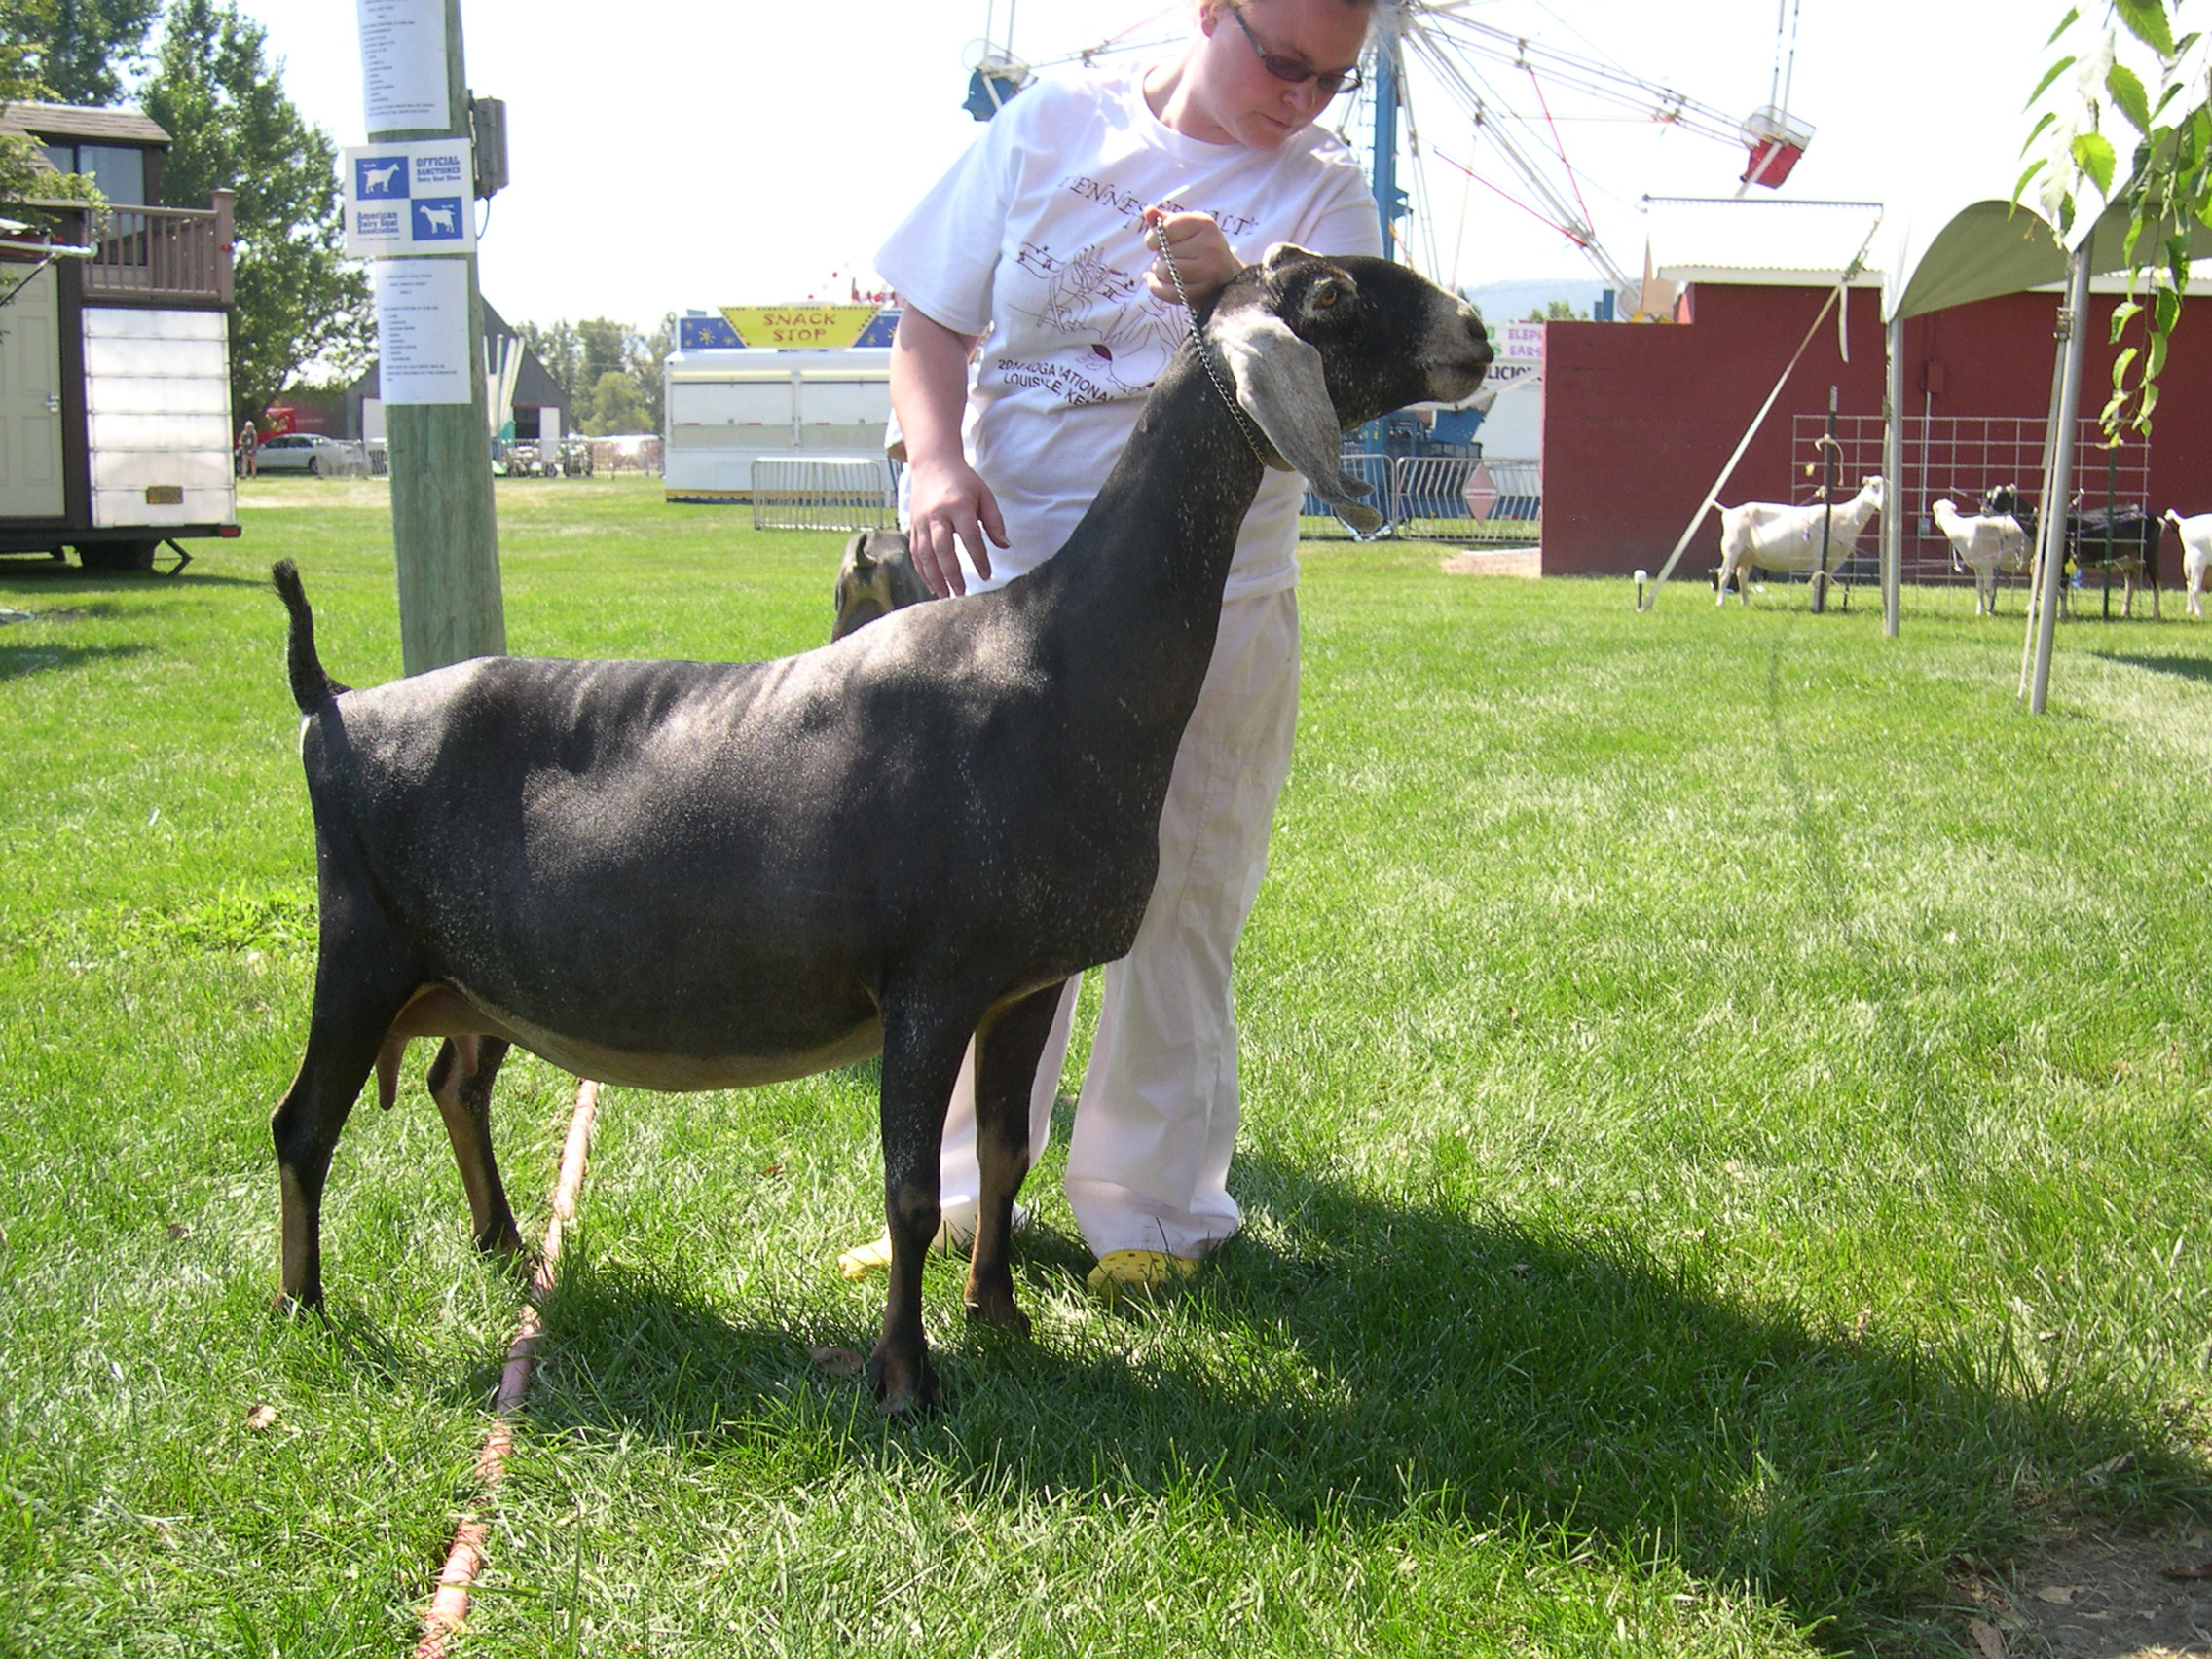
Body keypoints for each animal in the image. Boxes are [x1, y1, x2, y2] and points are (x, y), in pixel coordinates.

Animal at [1707, 477, 1884, 606]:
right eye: (1873, 486)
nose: (1883, 503)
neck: (1845, 516)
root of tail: (1729, 511)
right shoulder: (1820, 554)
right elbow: (1818, 582)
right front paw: (1815, 608)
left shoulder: (1835, 560)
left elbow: (1826, 584)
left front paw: (1824, 606)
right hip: (1732, 546)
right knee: (1724, 573)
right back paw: (1720, 603)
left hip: (1748, 553)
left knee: (1742, 575)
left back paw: (1745, 603)